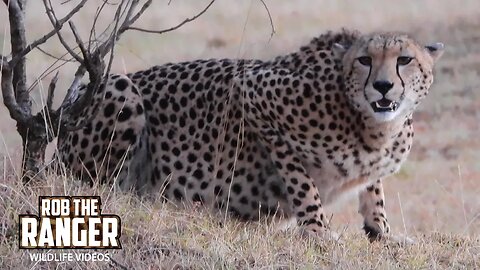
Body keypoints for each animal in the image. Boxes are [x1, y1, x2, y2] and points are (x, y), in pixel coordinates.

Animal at [58, 29, 444, 240]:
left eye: (405, 59)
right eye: (364, 60)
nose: (383, 86)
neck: (374, 127)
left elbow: (373, 189)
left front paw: (382, 229)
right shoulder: (252, 91)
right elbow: (301, 181)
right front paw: (317, 229)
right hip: (120, 89)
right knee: (106, 188)